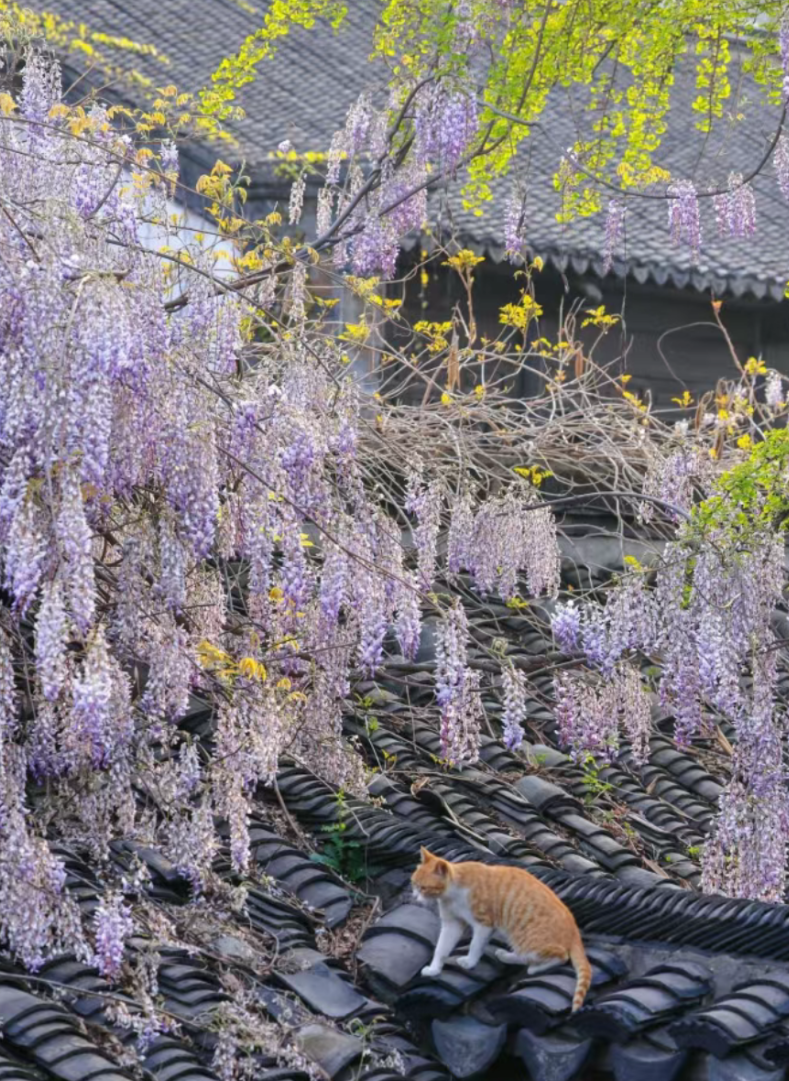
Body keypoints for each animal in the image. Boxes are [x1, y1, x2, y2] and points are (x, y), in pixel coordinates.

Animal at [412, 851, 587, 1011]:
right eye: (413, 884)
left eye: (424, 888)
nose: (414, 898)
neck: (453, 892)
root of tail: (574, 928)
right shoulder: (451, 925)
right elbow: (441, 949)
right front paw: (434, 969)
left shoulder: (484, 924)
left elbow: (475, 945)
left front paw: (469, 962)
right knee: (526, 956)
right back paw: (506, 956)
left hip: (524, 937)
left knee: (560, 956)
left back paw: (535, 968)